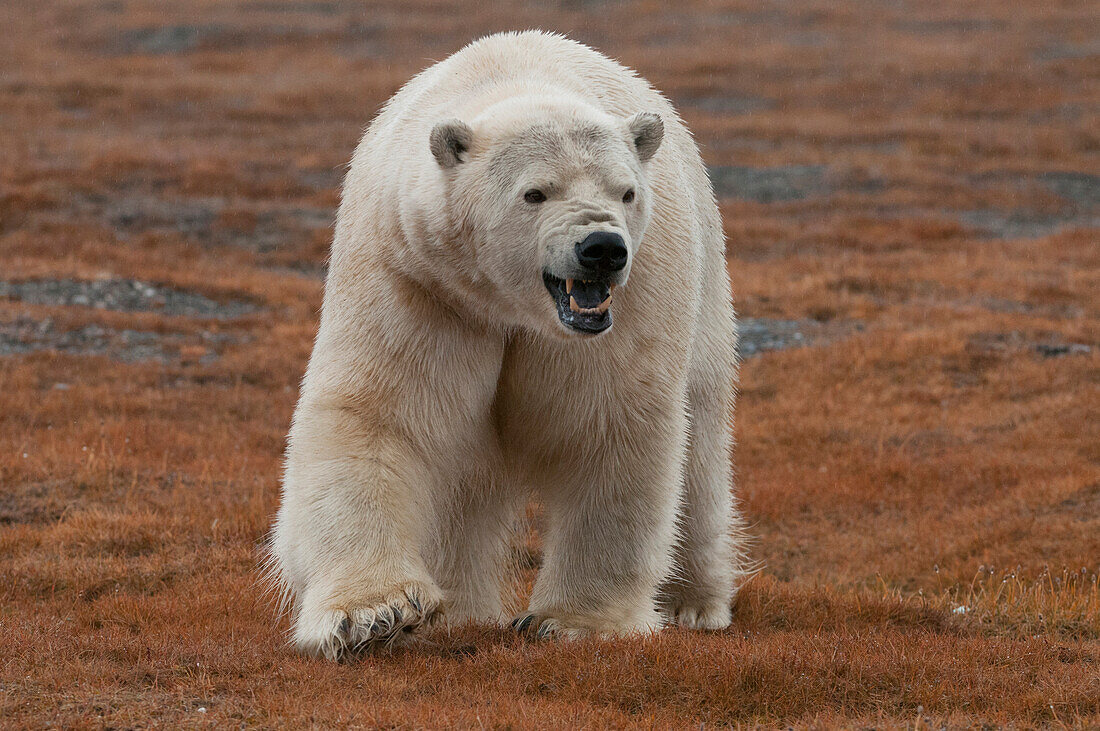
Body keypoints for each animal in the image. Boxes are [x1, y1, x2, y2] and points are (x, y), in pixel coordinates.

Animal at [268, 28, 748, 659]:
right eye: (535, 193)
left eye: (626, 193)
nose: (602, 248)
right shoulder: (418, 278)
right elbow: (378, 413)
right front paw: (375, 615)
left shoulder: (631, 301)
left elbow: (607, 423)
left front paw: (574, 623)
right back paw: (459, 612)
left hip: (706, 291)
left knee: (702, 445)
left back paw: (694, 603)